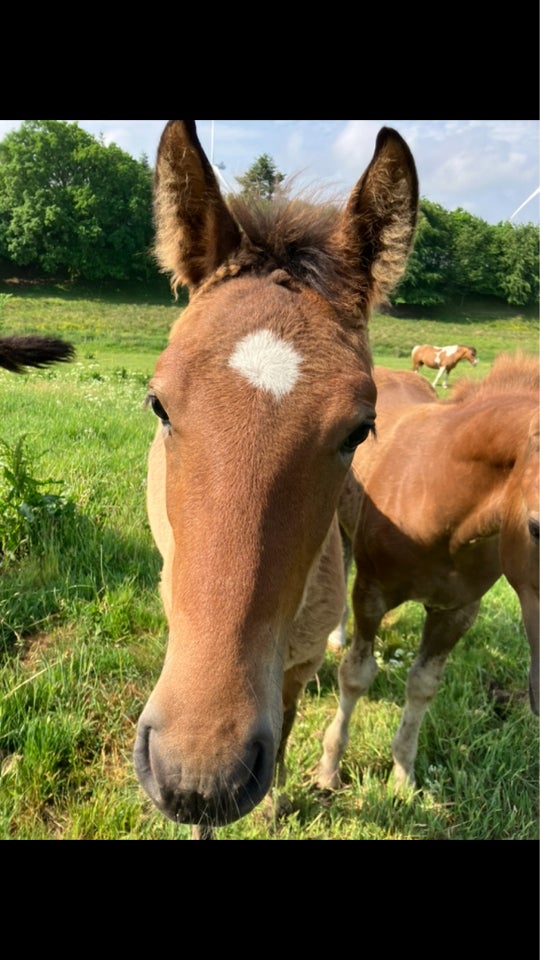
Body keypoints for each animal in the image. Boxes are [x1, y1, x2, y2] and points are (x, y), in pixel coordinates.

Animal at [133, 122, 420, 840]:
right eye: (158, 404)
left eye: (360, 430)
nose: (200, 777)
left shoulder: (292, 669)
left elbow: (286, 729)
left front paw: (273, 806)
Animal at [318, 352, 536, 796]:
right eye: (536, 527)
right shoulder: (372, 593)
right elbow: (356, 675)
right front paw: (329, 768)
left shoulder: (457, 611)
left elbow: (422, 686)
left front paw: (403, 776)